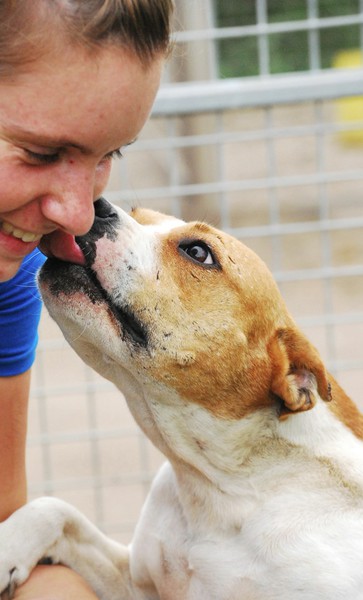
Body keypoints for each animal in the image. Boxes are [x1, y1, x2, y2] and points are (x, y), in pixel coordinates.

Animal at [0, 198, 363, 600]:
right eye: (138, 215)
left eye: (197, 252)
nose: (98, 206)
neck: (219, 487)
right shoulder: (138, 583)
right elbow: (58, 511)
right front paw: (7, 547)